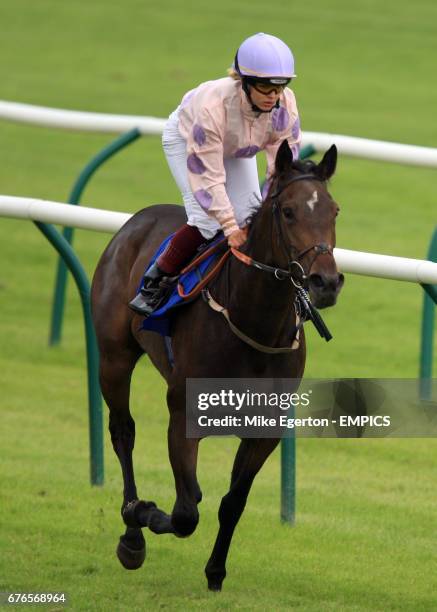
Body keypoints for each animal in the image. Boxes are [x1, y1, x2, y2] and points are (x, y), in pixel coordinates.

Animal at [91, 141, 344, 592]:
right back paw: (132, 533)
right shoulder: (183, 413)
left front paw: (215, 572)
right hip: (114, 357)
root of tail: (137, 221)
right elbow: (186, 511)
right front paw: (144, 513)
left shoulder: (266, 427)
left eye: (333, 211)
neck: (254, 321)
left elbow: (232, 502)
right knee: (123, 433)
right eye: (288, 211)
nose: (325, 282)